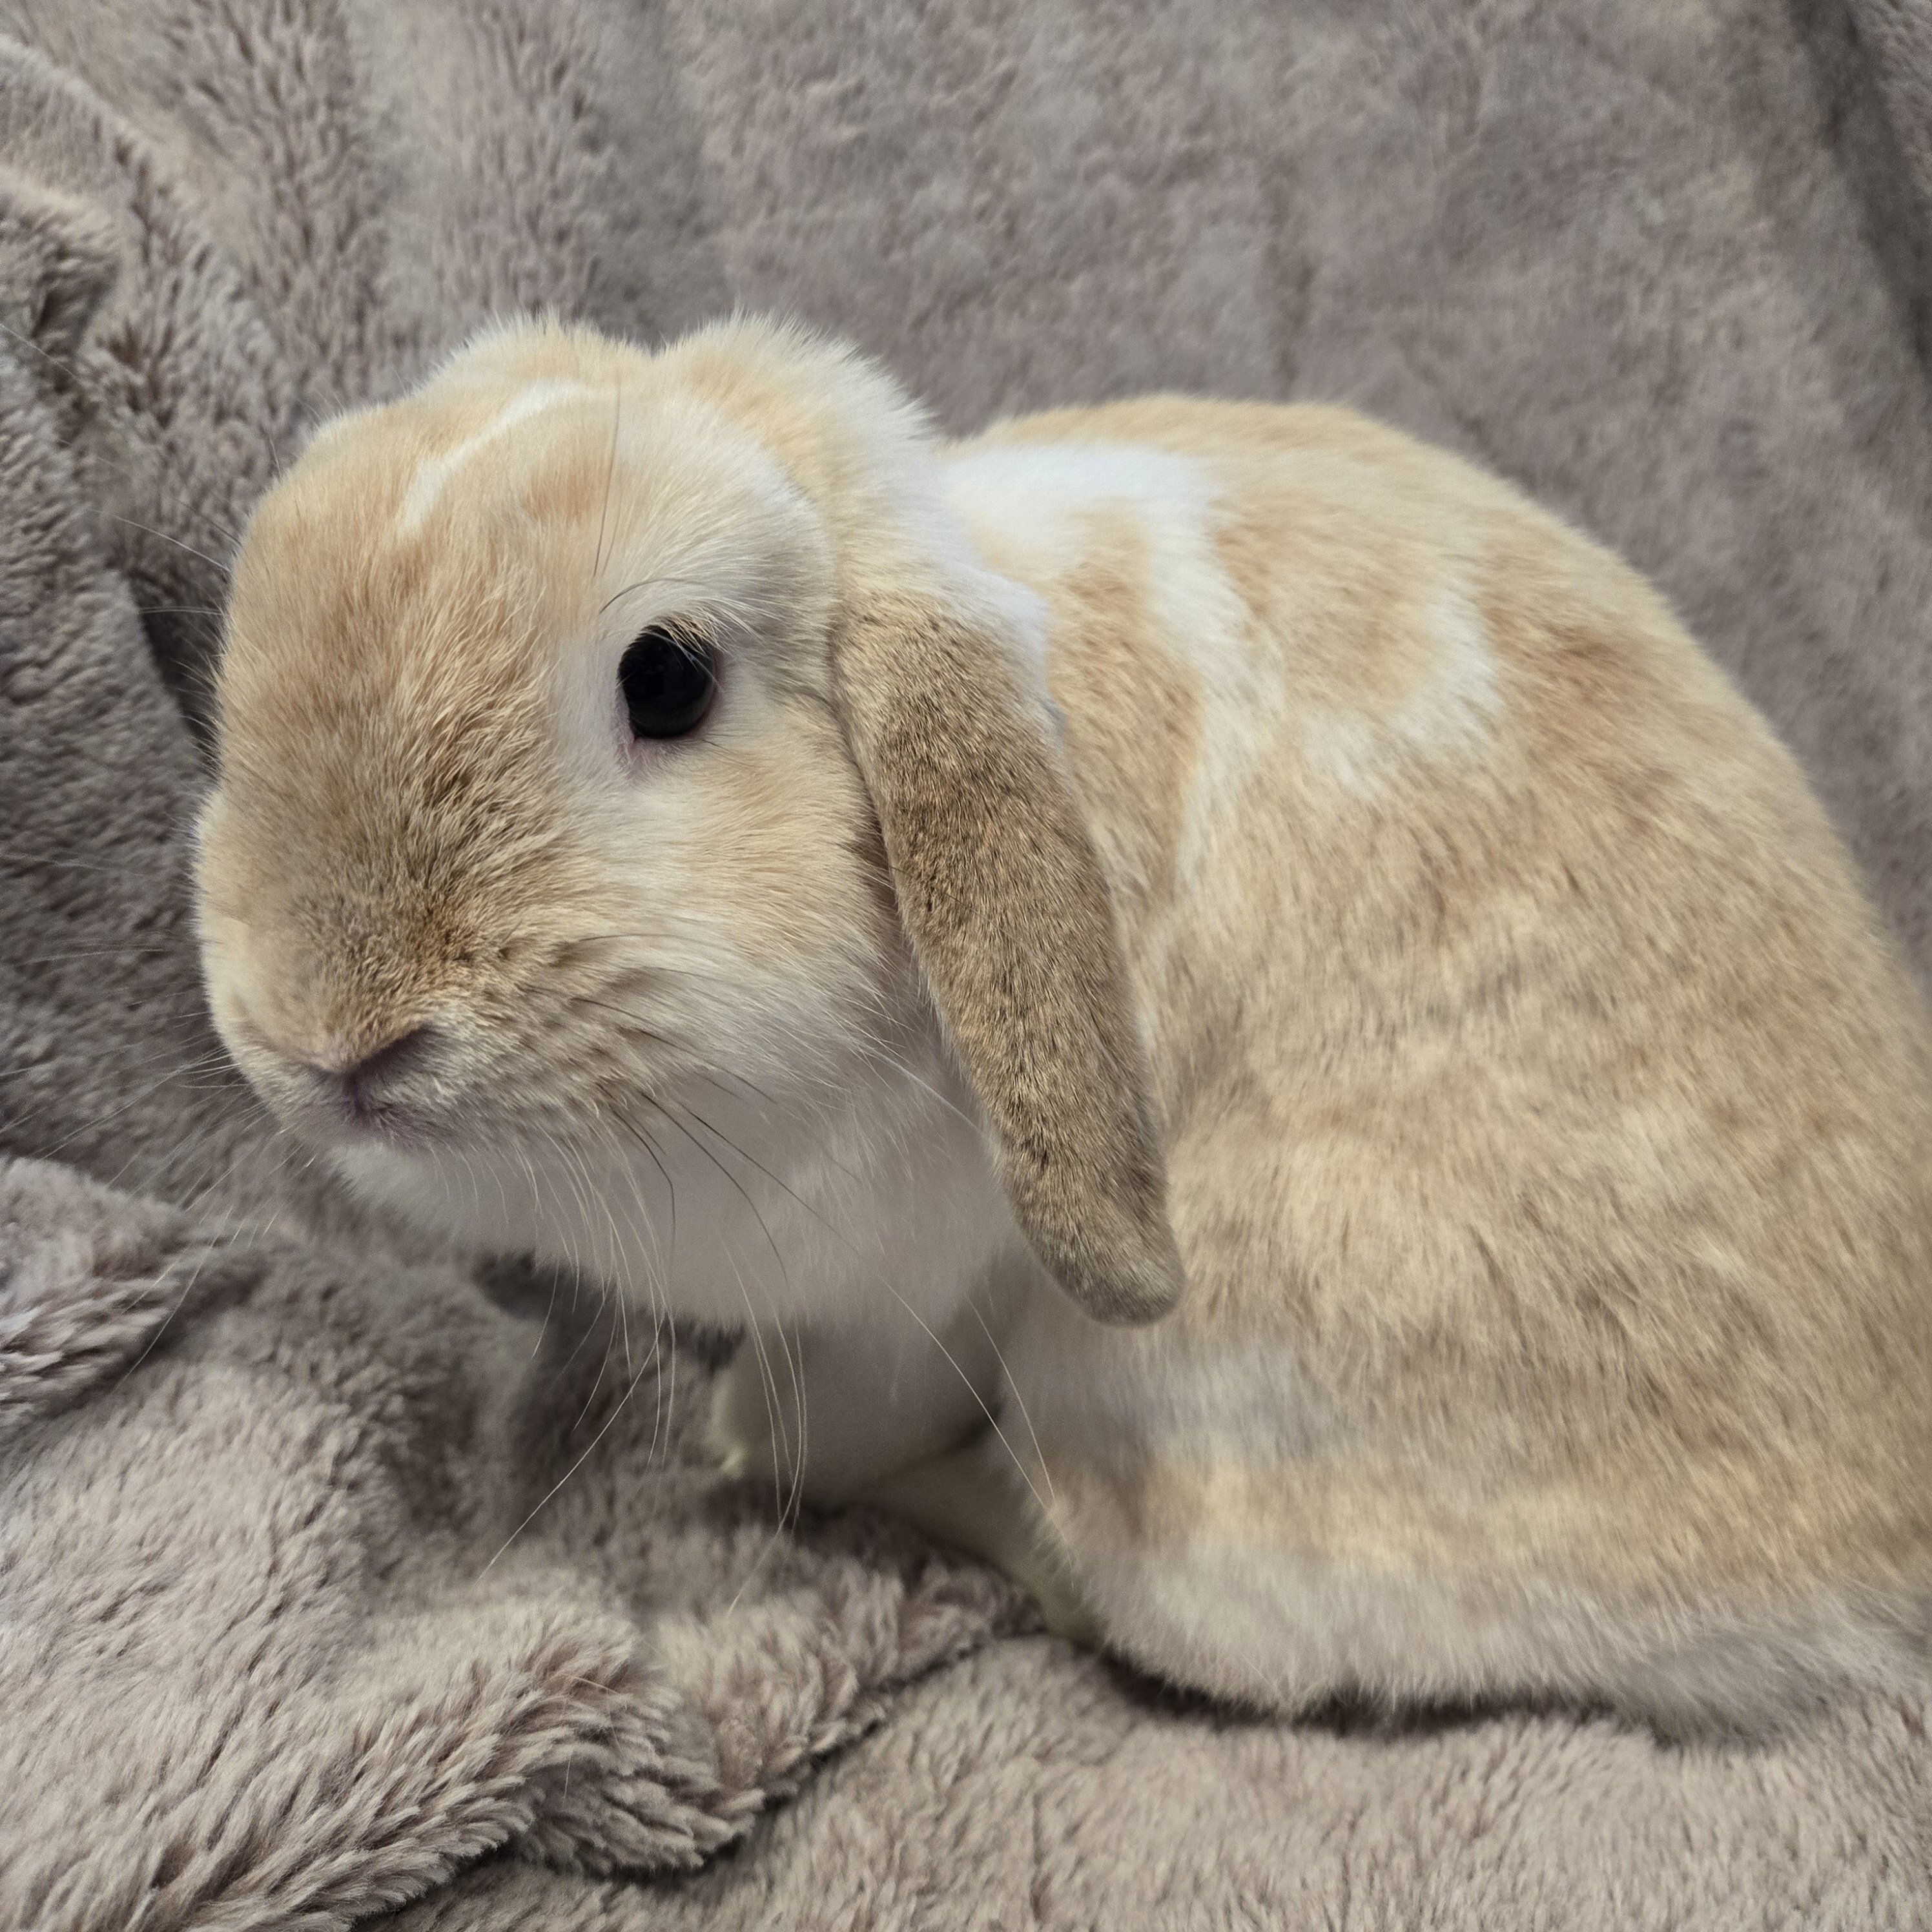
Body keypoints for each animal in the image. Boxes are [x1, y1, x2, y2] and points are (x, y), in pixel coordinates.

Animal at [194, 314, 1932, 1731]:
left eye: (668, 679)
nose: (333, 1042)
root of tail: (1860, 1575)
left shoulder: (905, 1300)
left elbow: (819, 1430)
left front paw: (733, 1437)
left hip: (1180, 1405)